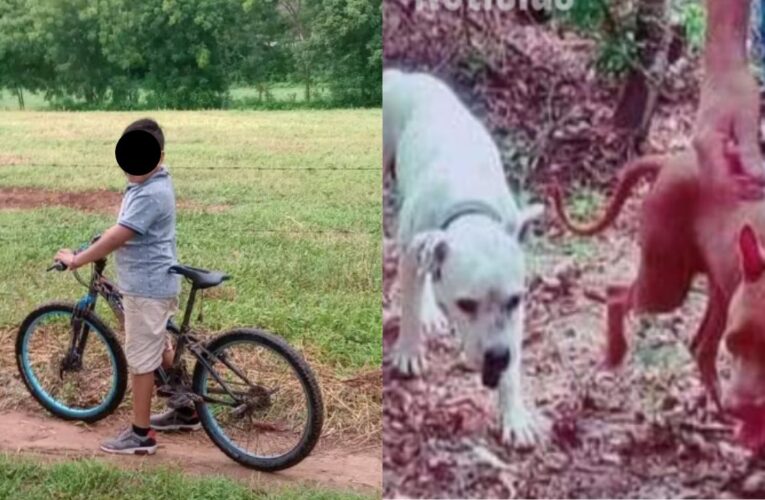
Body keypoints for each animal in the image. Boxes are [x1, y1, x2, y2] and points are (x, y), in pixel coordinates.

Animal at [384, 68, 548, 448]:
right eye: (466, 304)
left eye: (515, 300)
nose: (497, 358)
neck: (469, 207)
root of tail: (402, 75)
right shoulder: (411, 254)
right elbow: (409, 308)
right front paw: (409, 351)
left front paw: (514, 415)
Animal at [552, 150, 764, 452]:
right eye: (734, 343)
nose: (740, 409)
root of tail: (669, 162)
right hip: (665, 286)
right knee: (616, 295)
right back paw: (615, 354)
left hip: (715, 291)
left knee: (701, 347)